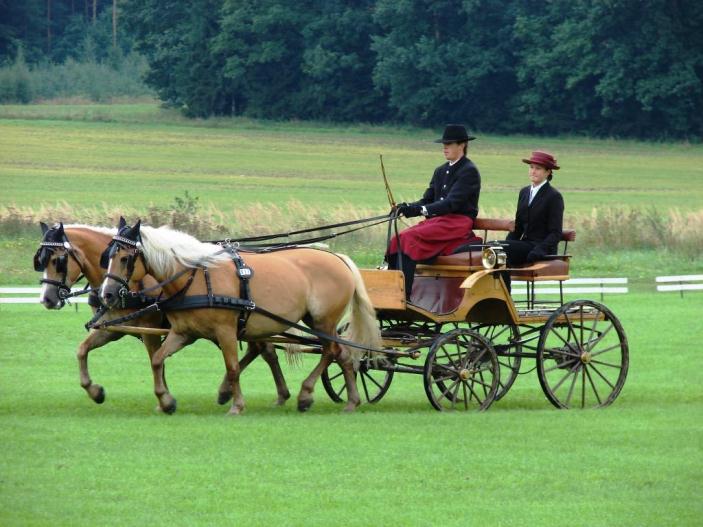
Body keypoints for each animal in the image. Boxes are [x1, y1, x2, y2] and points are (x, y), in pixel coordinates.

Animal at [33, 223, 288, 408]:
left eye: (57, 260)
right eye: (40, 261)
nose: (47, 299)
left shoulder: (150, 329)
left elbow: (155, 360)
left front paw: (164, 398)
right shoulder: (113, 328)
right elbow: (82, 350)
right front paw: (95, 392)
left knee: (263, 350)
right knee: (263, 350)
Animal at [97, 219, 380, 416]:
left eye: (125, 258)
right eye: (108, 256)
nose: (106, 294)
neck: (196, 276)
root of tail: (339, 259)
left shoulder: (226, 331)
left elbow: (232, 367)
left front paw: (237, 405)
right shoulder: (183, 333)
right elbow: (157, 360)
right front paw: (166, 401)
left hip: (324, 321)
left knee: (330, 351)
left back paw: (305, 395)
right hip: (316, 321)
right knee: (343, 355)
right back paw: (352, 401)